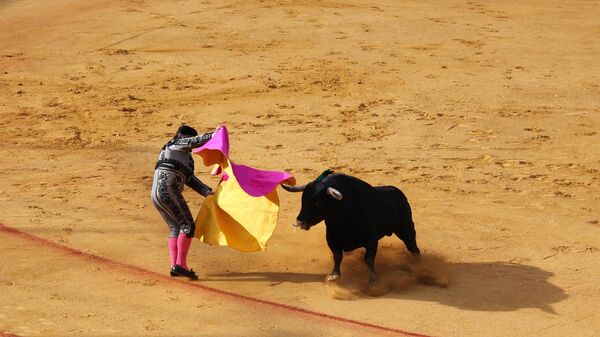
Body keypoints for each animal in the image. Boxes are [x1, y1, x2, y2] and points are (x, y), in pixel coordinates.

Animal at [282, 172, 420, 282]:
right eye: (303, 200)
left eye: (317, 203)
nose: (299, 222)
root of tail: (399, 193)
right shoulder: (332, 237)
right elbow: (337, 255)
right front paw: (334, 275)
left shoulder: (371, 238)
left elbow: (368, 258)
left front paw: (374, 278)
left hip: (406, 228)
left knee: (413, 246)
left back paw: (418, 263)